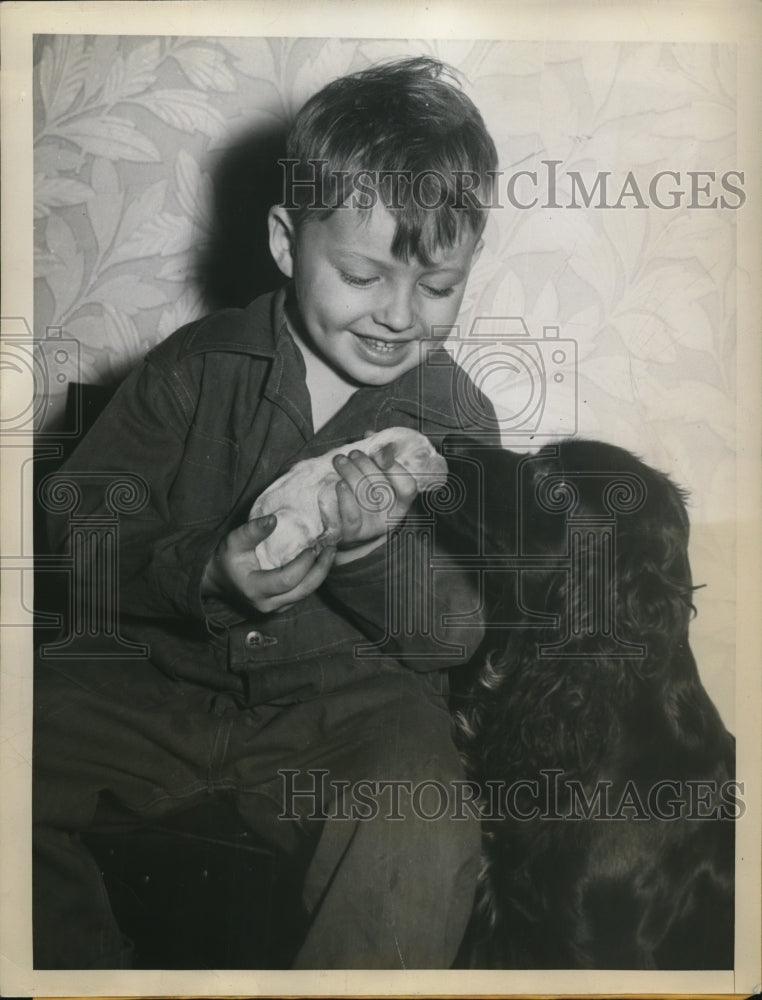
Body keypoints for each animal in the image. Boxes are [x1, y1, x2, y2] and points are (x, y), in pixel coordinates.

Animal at [249, 428, 448, 572]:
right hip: (289, 521)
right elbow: (333, 521)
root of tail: (260, 557)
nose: (447, 466)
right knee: (287, 557)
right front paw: (331, 537)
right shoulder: (329, 490)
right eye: (421, 456)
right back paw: (312, 546)